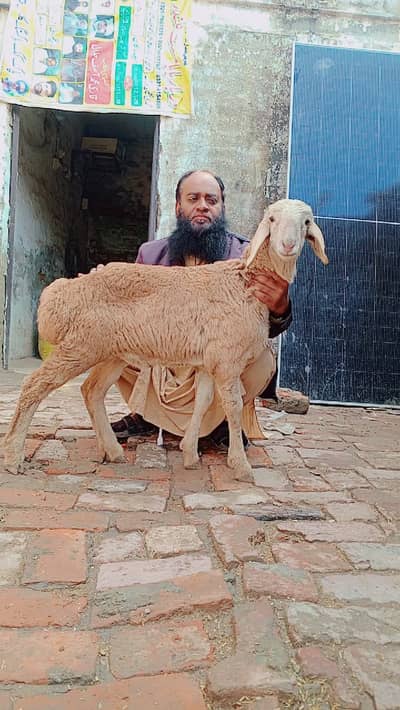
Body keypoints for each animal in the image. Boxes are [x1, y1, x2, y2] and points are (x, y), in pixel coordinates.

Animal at [3, 199, 328, 478]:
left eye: (306, 222)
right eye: (272, 219)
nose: (288, 245)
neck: (244, 282)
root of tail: (66, 291)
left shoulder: (210, 361)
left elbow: (204, 401)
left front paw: (190, 454)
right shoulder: (227, 359)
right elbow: (233, 406)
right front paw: (240, 465)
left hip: (111, 351)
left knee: (91, 390)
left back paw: (113, 451)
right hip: (81, 345)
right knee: (34, 385)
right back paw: (13, 455)